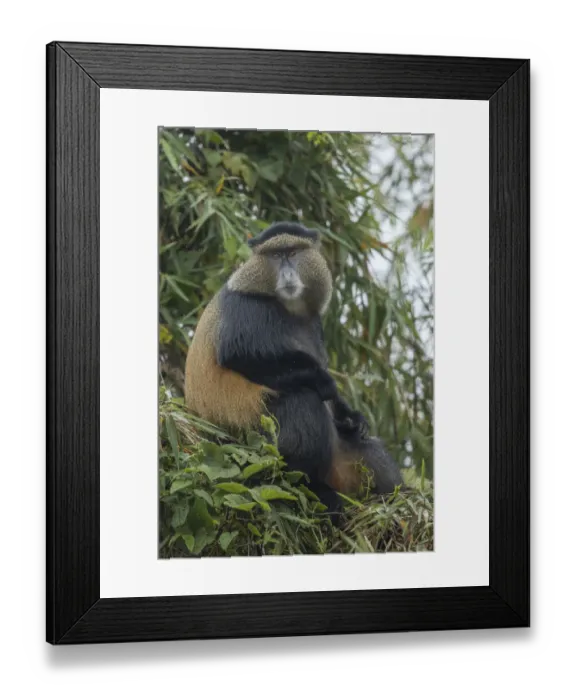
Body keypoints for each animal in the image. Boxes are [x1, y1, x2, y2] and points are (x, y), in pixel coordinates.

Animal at [184, 222, 403, 512]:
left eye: (294, 252)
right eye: (276, 255)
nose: (287, 271)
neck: (289, 308)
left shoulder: (315, 323)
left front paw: (351, 415)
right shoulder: (246, 308)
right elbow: (238, 354)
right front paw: (325, 383)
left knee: (368, 448)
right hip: (250, 447)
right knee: (303, 399)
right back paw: (311, 487)